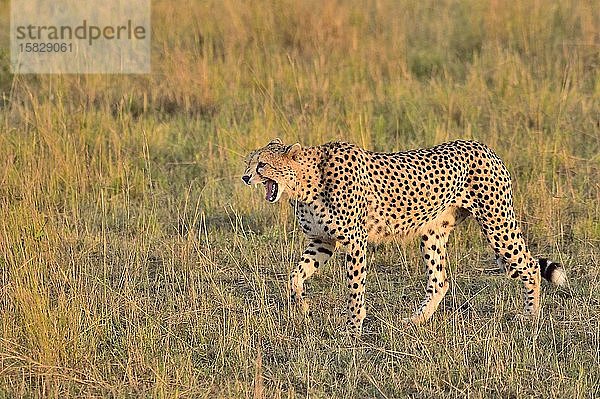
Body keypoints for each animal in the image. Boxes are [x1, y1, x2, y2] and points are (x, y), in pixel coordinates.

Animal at [241, 139, 564, 332]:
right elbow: (295, 276)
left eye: (262, 165)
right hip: (433, 232)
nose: (245, 176)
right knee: (440, 281)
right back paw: (416, 319)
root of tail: (483, 146)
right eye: (250, 162)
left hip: (497, 224)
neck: (307, 182)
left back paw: (531, 316)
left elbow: (354, 290)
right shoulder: (323, 241)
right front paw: (302, 305)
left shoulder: (354, 241)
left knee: (530, 266)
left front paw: (353, 328)